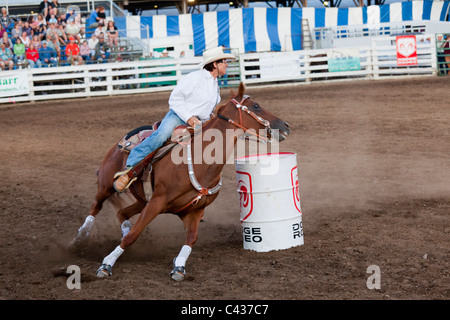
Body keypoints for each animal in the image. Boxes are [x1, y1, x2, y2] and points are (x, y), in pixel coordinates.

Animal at [70, 84, 288, 282]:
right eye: (256, 106)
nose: (285, 126)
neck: (200, 162)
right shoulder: (157, 202)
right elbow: (133, 235)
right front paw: (106, 265)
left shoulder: (193, 211)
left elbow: (191, 239)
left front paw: (179, 267)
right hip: (107, 185)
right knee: (96, 206)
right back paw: (79, 238)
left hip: (142, 200)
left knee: (122, 213)